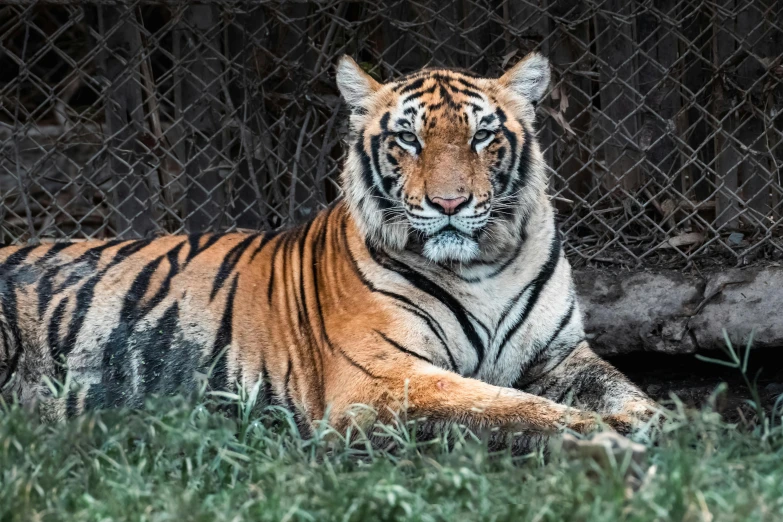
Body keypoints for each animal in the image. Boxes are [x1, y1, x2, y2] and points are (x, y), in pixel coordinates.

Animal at [0, 51, 660, 442]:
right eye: (408, 139)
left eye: (481, 136)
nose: (450, 204)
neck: (482, 266)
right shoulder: (381, 377)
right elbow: (501, 406)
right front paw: (603, 434)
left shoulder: (560, 356)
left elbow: (622, 387)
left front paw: (660, 422)